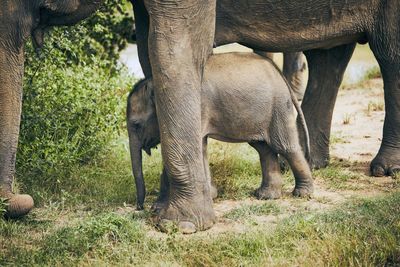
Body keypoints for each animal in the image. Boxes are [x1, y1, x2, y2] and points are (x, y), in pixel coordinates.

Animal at [126, 52, 314, 211]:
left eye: (136, 124)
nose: (139, 207)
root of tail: (280, 75)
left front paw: (157, 207)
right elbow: (200, 147)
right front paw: (210, 195)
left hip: (278, 108)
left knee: (284, 147)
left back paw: (302, 194)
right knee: (263, 149)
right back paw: (266, 196)